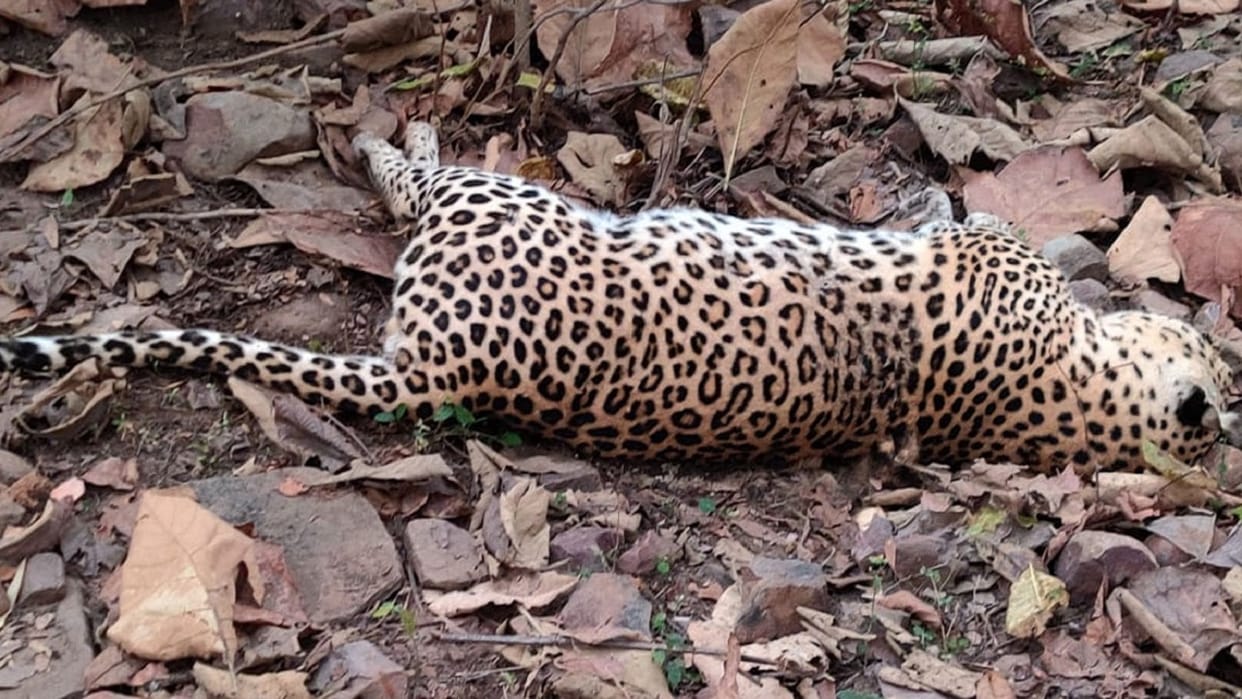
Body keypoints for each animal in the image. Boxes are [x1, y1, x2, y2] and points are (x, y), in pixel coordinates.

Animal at [2, 120, 1240, 472]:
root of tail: (425, 372)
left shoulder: (988, 258)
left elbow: (975, 224)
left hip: (497, 204)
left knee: (417, 181)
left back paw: (387, 135)